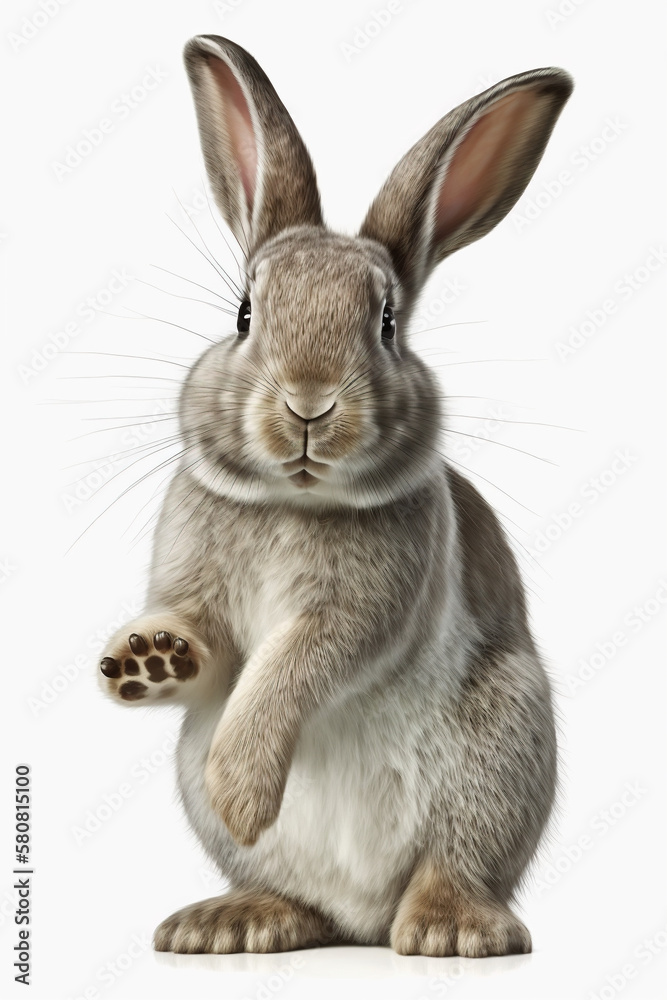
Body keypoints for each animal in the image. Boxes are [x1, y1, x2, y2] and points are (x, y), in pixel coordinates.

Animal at [98, 34, 573, 957]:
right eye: (244, 314)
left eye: (385, 325)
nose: (308, 403)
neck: (292, 503)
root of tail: (363, 920)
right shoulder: (193, 581)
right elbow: (204, 641)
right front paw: (146, 662)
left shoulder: (362, 609)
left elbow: (296, 665)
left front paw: (242, 792)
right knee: (301, 903)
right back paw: (235, 920)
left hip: (502, 746)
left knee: (452, 865)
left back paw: (449, 929)